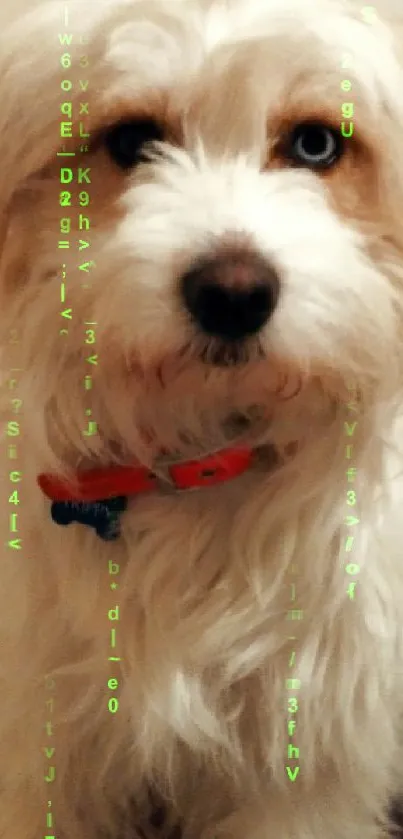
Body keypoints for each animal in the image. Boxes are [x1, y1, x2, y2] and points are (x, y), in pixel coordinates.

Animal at [0, 0, 403, 836]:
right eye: (131, 139)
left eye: (316, 143)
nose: (233, 293)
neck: (201, 457)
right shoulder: (39, 752)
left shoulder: (302, 772)